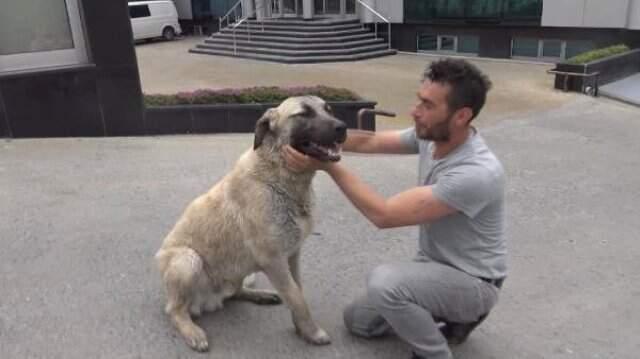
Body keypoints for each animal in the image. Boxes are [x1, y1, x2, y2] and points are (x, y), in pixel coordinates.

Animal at [154, 95, 344, 352]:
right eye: (303, 114)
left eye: (329, 110)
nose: (343, 127)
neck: (280, 177)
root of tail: (210, 299)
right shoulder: (274, 260)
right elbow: (296, 297)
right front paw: (312, 332)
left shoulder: (292, 255)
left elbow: (297, 291)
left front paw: (302, 328)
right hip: (187, 260)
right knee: (175, 310)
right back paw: (192, 331)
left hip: (235, 270)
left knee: (235, 292)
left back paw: (259, 294)